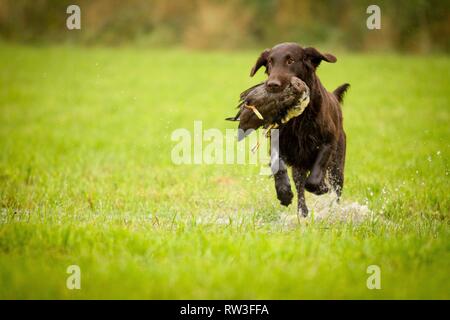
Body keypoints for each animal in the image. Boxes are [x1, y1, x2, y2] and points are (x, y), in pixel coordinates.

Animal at [251, 42, 350, 216]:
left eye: (290, 61)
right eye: (270, 62)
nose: (272, 85)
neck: (298, 118)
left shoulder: (328, 142)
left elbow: (315, 177)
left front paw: (320, 188)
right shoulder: (277, 144)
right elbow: (278, 166)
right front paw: (284, 193)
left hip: (337, 165)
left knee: (335, 189)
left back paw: (334, 209)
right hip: (300, 166)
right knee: (300, 186)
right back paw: (302, 212)